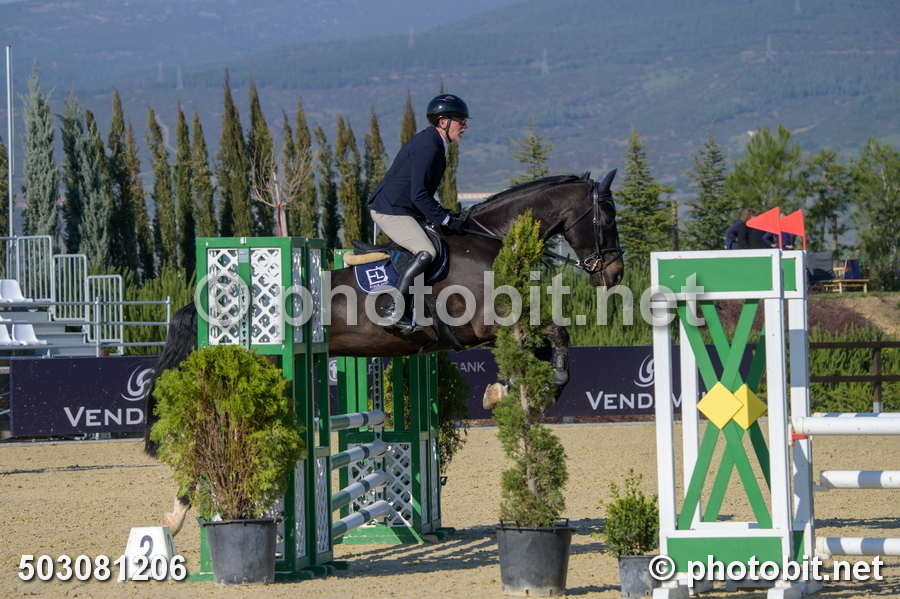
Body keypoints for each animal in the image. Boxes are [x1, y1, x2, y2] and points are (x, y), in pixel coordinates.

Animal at [147, 170, 623, 533]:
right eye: (607, 216)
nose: (614, 273)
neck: (490, 242)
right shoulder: (487, 324)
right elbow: (557, 334)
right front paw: (524, 388)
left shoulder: (498, 331)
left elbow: (546, 346)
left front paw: (511, 391)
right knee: (210, 434)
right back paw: (178, 516)